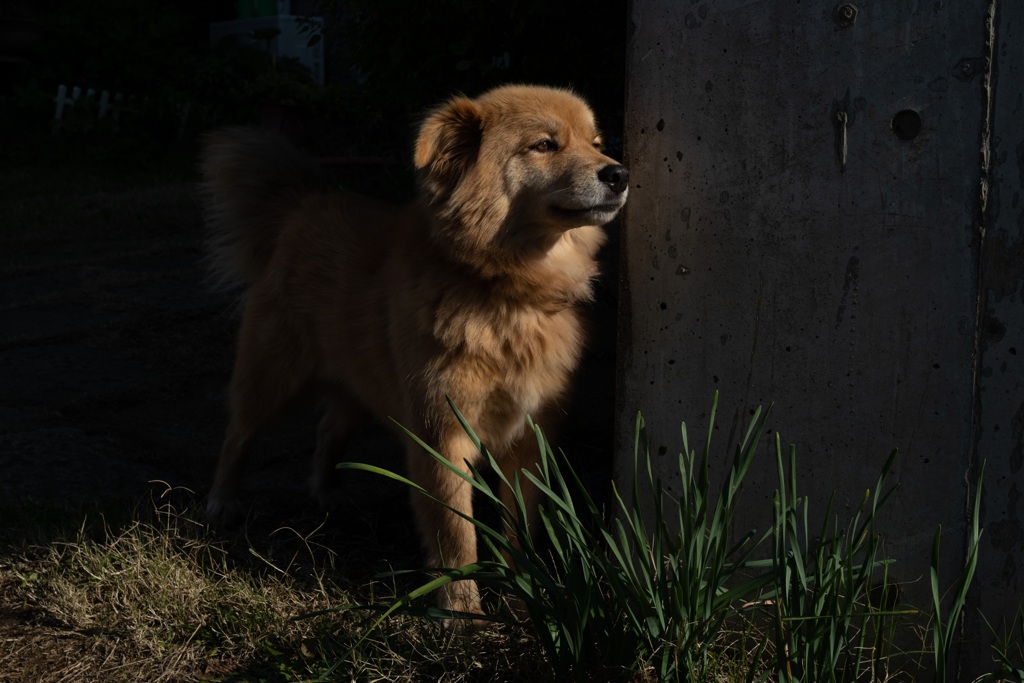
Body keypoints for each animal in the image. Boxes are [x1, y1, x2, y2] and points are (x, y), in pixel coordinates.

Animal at [198, 83, 626, 618]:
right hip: (272, 376)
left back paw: (326, 490)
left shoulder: (528, 439)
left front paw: (525, 594)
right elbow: (457, 536)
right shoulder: (441, 437)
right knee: (238, 435)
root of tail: (306, 203)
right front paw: (463, 613)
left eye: (595, 142)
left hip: (362, 387)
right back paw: (222, 501)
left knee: (327, 428)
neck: (503, 290)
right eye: (545, 145)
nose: (619, 173)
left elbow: (521, 529)